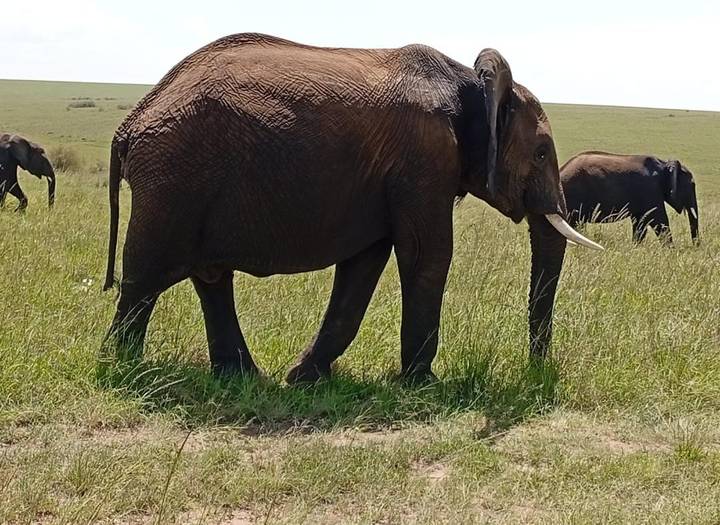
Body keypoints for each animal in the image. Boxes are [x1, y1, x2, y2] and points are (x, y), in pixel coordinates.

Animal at [102, 33, 602, 383]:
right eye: (541, 152)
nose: (536, 367)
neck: (468, 83)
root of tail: (132, 120)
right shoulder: (424, 157)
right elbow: (427, 255)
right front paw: (424, 384)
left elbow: (363, 265)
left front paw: (304, 378)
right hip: (173, 178)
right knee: (145, 277)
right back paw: (124, 366)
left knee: (210, 278)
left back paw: (244, 378)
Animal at [560, 151, 699, 245]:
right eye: (691, 185)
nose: (695, 247)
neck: (664, 165)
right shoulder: (650, 189)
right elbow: (659, 220)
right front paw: (671, 251)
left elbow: (640, 223)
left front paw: (636, 247)